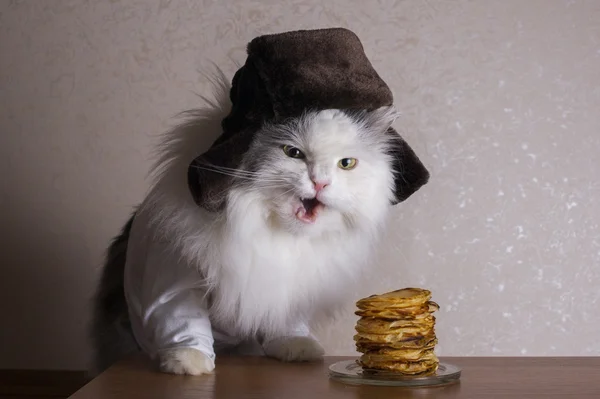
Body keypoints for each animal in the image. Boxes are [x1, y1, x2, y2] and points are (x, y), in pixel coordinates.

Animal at [89, 73, 426, 376]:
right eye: (293, 153)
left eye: (346, 164)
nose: (320, 182)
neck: (273, 232)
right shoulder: (176, 280)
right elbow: (184, 324)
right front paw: (188, 363)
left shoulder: (289, 292)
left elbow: (287, 326)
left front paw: (297, 348)